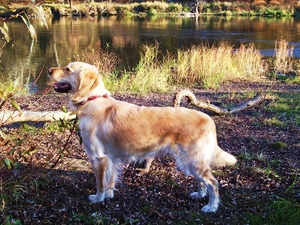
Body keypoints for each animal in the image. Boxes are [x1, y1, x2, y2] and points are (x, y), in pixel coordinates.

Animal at [48, 62, 237, 213]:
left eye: (68, 69)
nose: (49, 70)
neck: (93, 100)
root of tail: (207, 118)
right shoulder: (111, 158)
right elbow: (110, 180)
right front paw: (109, 196)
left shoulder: (97, 157)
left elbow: (100, 183)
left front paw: (98, 198)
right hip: (189, 161)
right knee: (203, 181)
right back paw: (199, 194)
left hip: (193, 159)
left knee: (213, 183)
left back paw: (211, 206)